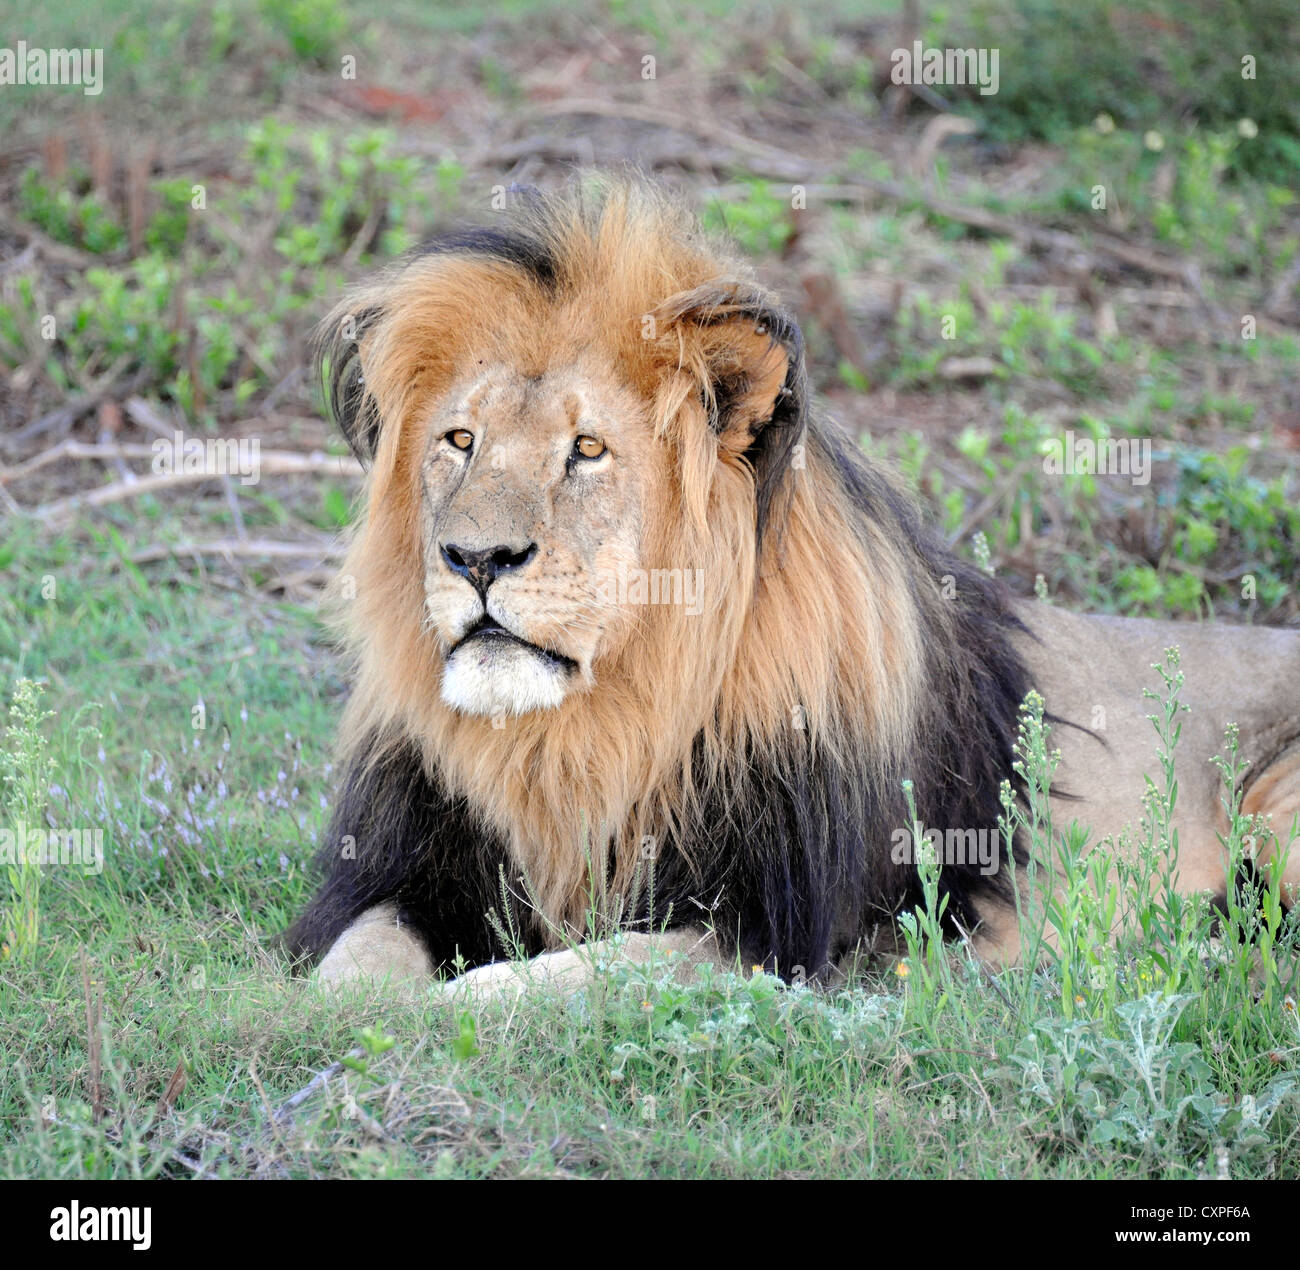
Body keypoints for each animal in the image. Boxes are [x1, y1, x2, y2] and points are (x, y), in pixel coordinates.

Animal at [285, 176, 1300, 997]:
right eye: (461, 440)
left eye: (587, 450)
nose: (476, 558)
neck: (587, 733)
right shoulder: (409, 874)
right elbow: (353, 963)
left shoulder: (768, 935)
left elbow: (564, 977)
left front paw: (451, 1008)